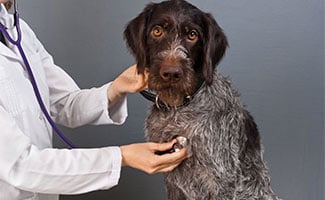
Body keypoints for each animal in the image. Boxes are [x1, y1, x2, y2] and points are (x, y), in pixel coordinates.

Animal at [124, 0, 278, 199]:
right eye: (157, 31)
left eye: (192, 35)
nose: (171, 73)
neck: (179, 108)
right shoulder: (172, 179)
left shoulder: (222, 179)